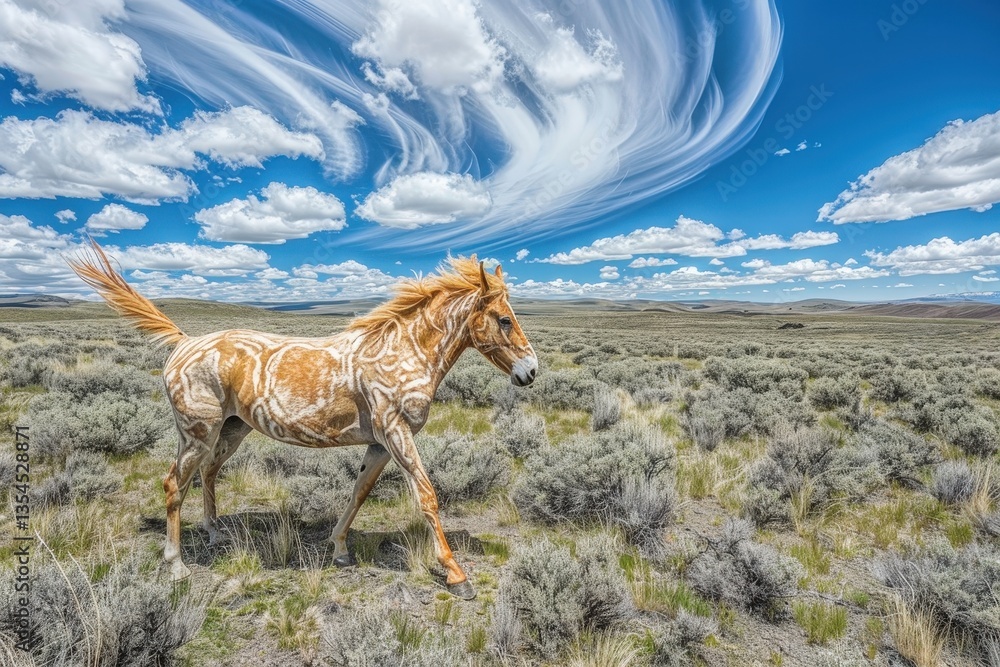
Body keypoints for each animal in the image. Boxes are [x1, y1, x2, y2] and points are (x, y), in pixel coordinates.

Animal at [67, 241, 537, 599]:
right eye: (504, 319)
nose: (530, 372)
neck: (403, 352)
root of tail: (184, 343)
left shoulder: (379, 443)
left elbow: (358, 493)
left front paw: (339, 548)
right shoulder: (396, 433)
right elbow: (427, 497)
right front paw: (457, 575)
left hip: (231, 429)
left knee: (208, 473)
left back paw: (215, 533)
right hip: (196, 432)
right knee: (173, 484)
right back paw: (177, 565)